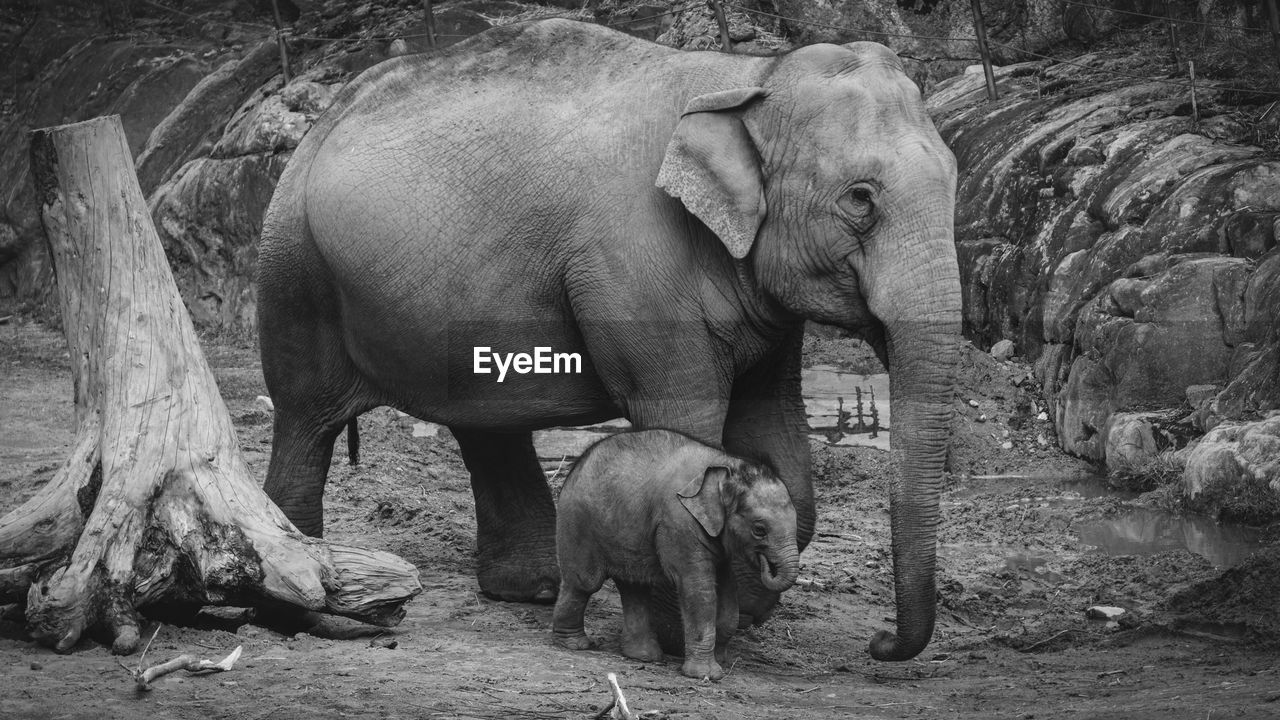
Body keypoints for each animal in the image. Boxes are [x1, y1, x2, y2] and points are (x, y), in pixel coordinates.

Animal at [552, 425, 798, 676]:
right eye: (759, 529)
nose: (767, 563)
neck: (727, 464)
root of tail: (577, 464)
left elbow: (728, 591)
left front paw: (722, 660)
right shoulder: (679, 521)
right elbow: (697, 587)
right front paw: (706, 675)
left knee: (634, 587)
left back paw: (644, 656)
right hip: (578, 522)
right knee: (584, 582)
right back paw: (574, 644)